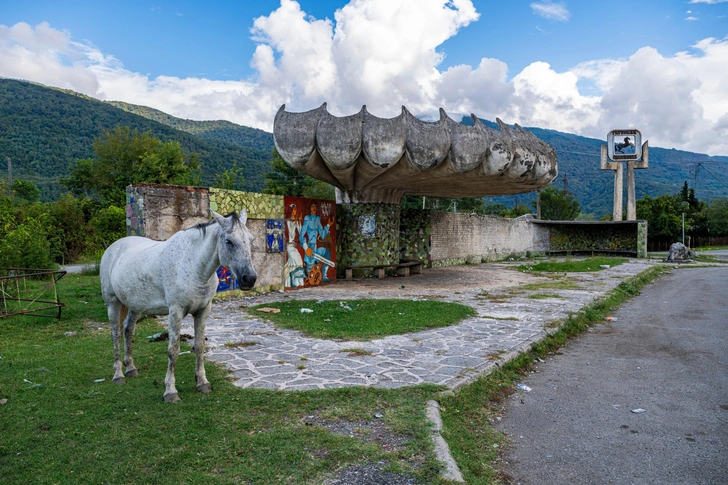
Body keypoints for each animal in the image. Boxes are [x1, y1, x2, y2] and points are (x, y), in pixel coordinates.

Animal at [100, 210, 257, 402]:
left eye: (251, 240)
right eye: (228, 241)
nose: (249, 279)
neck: (193, 265)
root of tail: (113, 247)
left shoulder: (203, 311)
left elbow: (199, 346)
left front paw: (202, 383)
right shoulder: (176, 311)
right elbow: (173, 350)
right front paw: (170, 391)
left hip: (135, 305)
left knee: (128, 330)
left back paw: (131, 368)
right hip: (113, 303)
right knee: (116, 334)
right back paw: (118, 375)